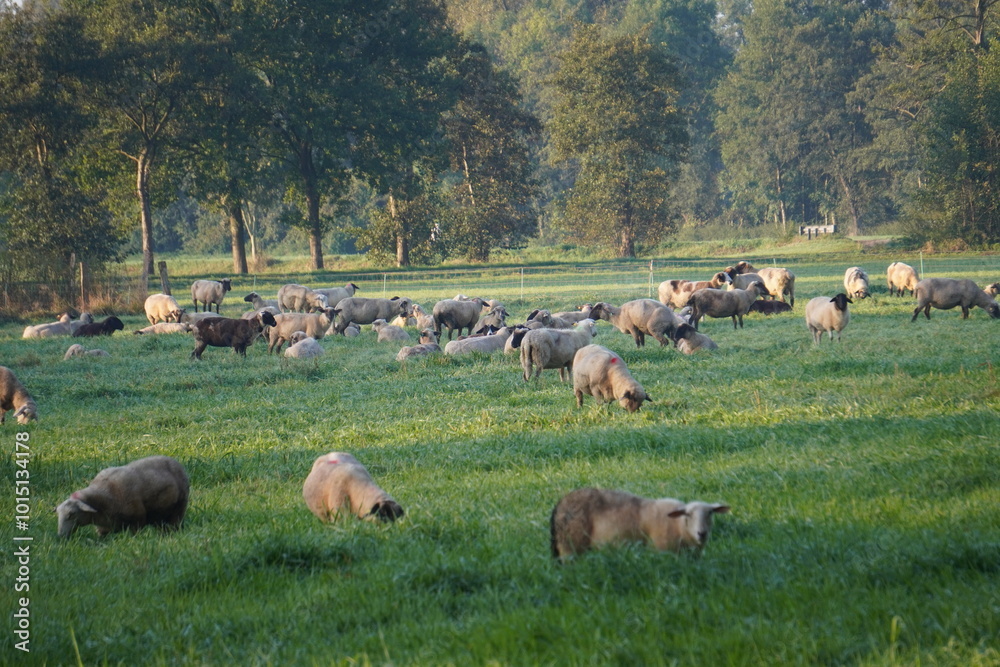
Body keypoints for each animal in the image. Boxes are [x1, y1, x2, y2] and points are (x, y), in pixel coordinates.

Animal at [56, 455, 189, 538]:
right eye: (58, 514)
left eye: (71, 514)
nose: (61, 536)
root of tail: (176, 462)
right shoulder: (103, 528)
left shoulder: (137, 521)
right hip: (159, 515)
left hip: (179, 509)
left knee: (174, 524)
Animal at [549, 487, 730, 561]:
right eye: (688, 515)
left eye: (710, 513)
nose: (702, 533)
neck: (679, 526)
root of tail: (559, 505)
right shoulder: (662, 550)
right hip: (570, 546)